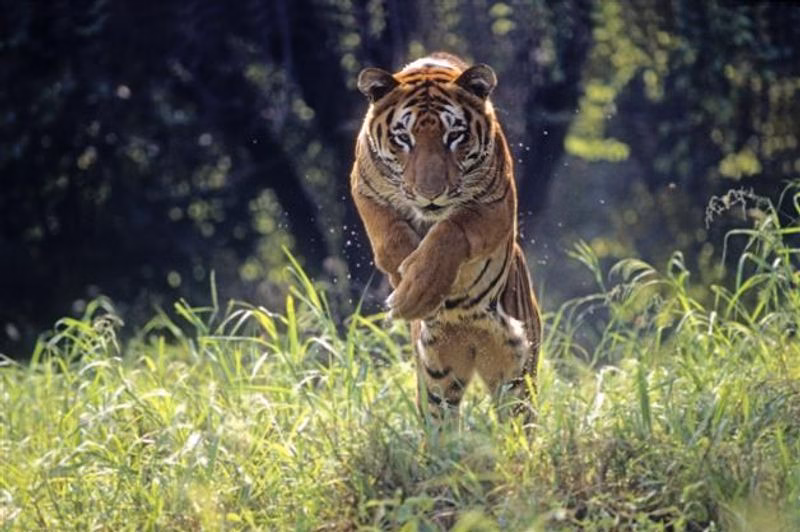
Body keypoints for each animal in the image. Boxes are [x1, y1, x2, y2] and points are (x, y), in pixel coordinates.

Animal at [350, 52, 541, 424]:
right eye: (403, 138)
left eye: (455, 135)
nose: (430, 194)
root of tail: (470, 336)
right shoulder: (364, 188)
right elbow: (390, 236)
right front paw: (405, 286)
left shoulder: (494, 206)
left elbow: (449, 232)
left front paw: (418, 290)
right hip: (438, 374)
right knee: (442, 419)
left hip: (516, 372)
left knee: (516, 418)